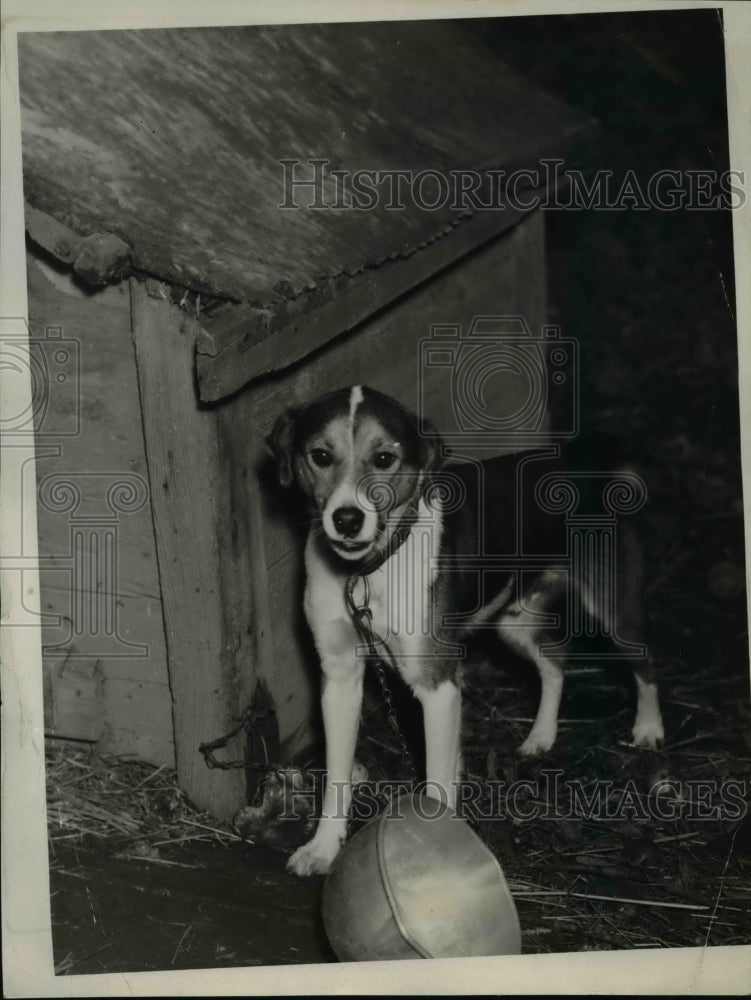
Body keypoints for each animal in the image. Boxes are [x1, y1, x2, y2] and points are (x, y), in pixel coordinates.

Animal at [268, 384, 664, 876]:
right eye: (321, 455)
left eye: (384, 458)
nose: (346, 519)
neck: (367, 571)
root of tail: (586, 463)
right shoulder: (340, 678)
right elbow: (336, 775)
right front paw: (323, 847)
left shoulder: (436, 684)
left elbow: (438, 782)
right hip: (515, 623)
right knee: (555, 665)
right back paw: (540, 737)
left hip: (614, 609)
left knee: (646, 662)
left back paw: (648, 728)